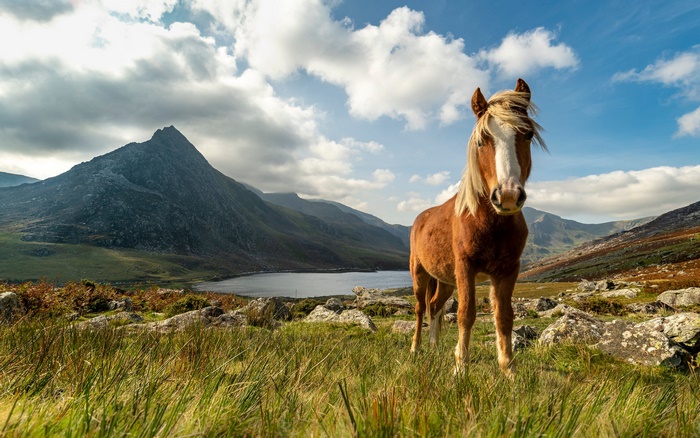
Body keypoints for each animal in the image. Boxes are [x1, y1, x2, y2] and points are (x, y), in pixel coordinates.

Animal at [409, 78, 546, 376]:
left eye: (528, 135)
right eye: (483, 140)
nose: (508, 196)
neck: (489, 222)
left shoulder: (508, 270)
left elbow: (504, 316)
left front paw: (509, 369)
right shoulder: (465, 268)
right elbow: (466, 314)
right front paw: (460, 368)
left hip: (445, 280)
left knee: (434, 306)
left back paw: (434, 348)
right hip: (420, 273)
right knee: (419, 308)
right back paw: (416, 349)